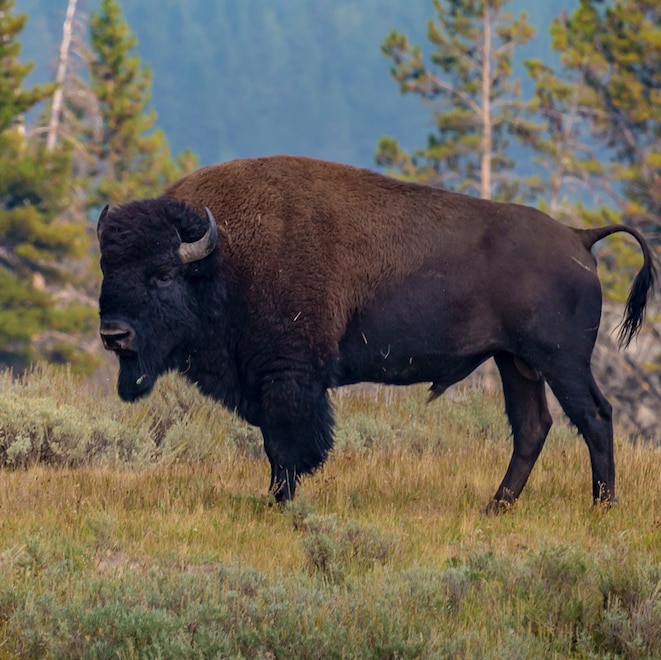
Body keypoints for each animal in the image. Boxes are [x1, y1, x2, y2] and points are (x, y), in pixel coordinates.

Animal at [97, 155, 655, 510]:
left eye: (162, 274)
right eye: (108, 268)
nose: (113, 334)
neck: (222, 258)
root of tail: (579, 237)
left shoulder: (288, 377)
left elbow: (285, 446)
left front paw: (280, 503)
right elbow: (276, 444)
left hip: (561, 362)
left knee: (594, 417)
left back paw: (602, 507)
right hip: (515, 362)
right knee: (533, 427)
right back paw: (495, 507)